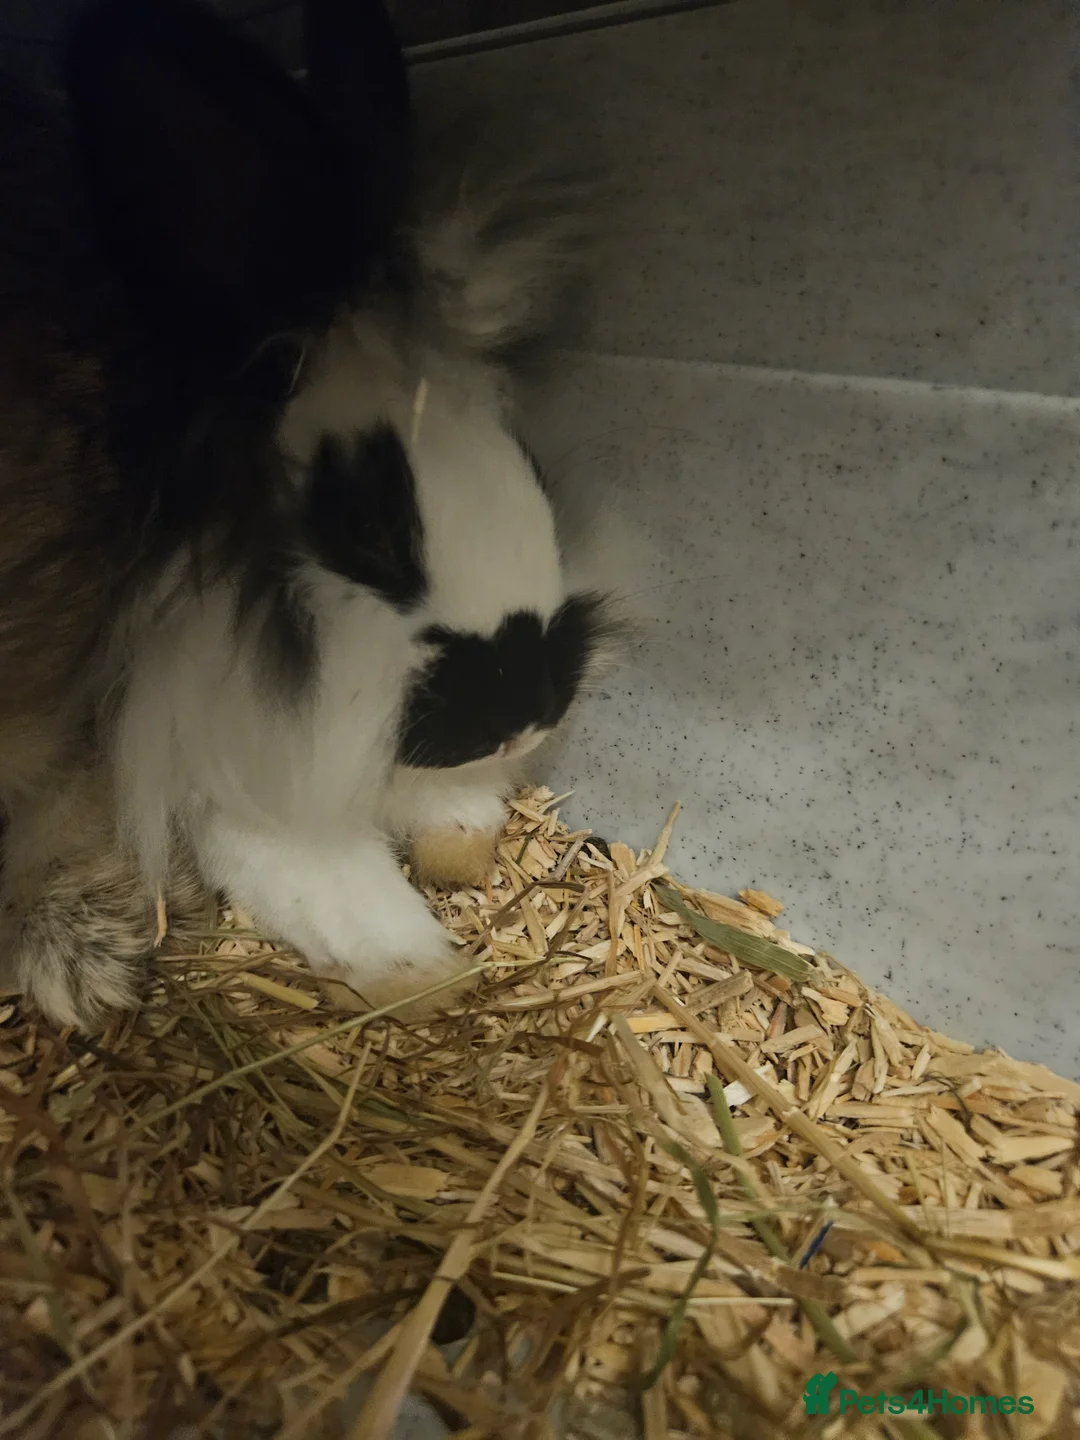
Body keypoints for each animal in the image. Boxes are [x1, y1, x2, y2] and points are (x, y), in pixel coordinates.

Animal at [0, 0, 619, 1030]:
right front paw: (416, 969)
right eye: (364, 523)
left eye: (530, 461)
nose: (524, 720)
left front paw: (459, 844)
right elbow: (309, 868)